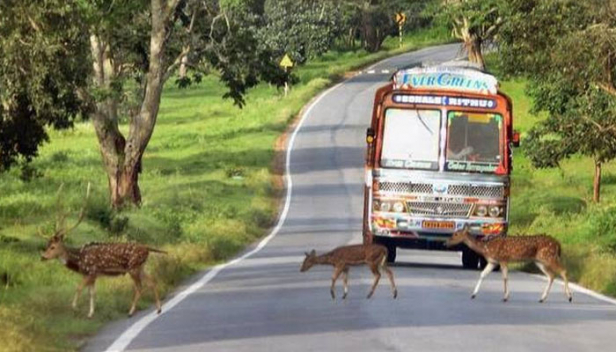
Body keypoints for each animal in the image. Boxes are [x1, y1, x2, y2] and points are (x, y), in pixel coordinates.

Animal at [40, 183, 166, 318]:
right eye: (47, 245)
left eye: (53, 247)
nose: (43, 257)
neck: (79, 260)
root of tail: (147, 248)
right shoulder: (93, 276)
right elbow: (92, 293)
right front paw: (90, 313)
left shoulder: (92, 272)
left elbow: (79, 287)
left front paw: (75, 307)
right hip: (141, 266)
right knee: (152, 281)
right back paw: (158, 309)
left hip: (133, 267)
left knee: (140, 287)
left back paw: (131, 311)